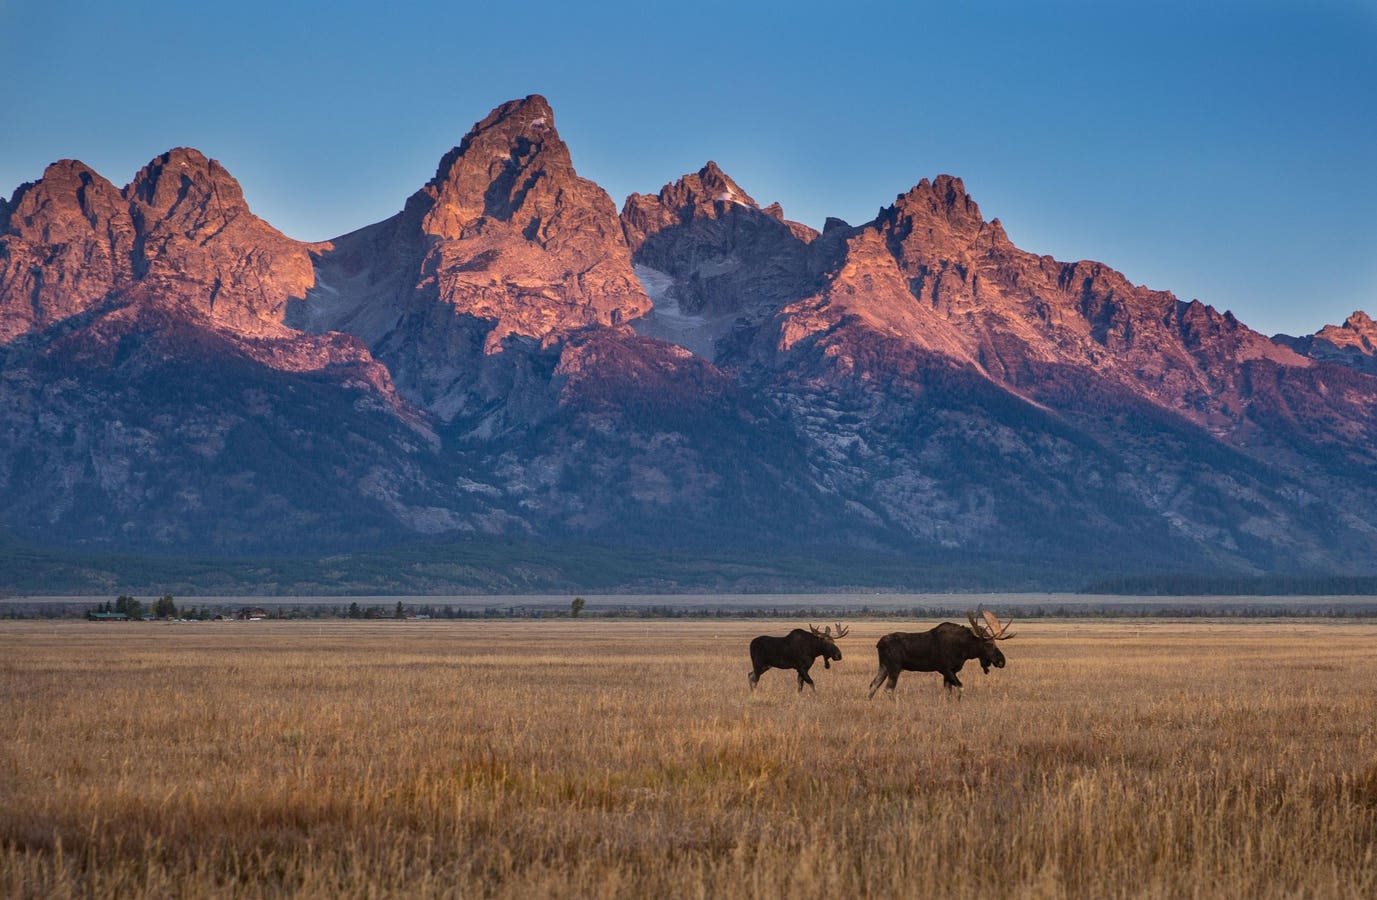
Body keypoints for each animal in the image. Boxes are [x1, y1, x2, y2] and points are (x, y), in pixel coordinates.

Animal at [864, 611, 1018, 701]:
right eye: (989, 644)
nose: (1001, 661)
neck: (965, 649)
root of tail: (879, 644)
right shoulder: (945, 669)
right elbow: (960, 687)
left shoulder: (951, 671)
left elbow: (948, 691)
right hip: (895, 667)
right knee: (888, 689)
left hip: (884, 666)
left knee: (873, 684)